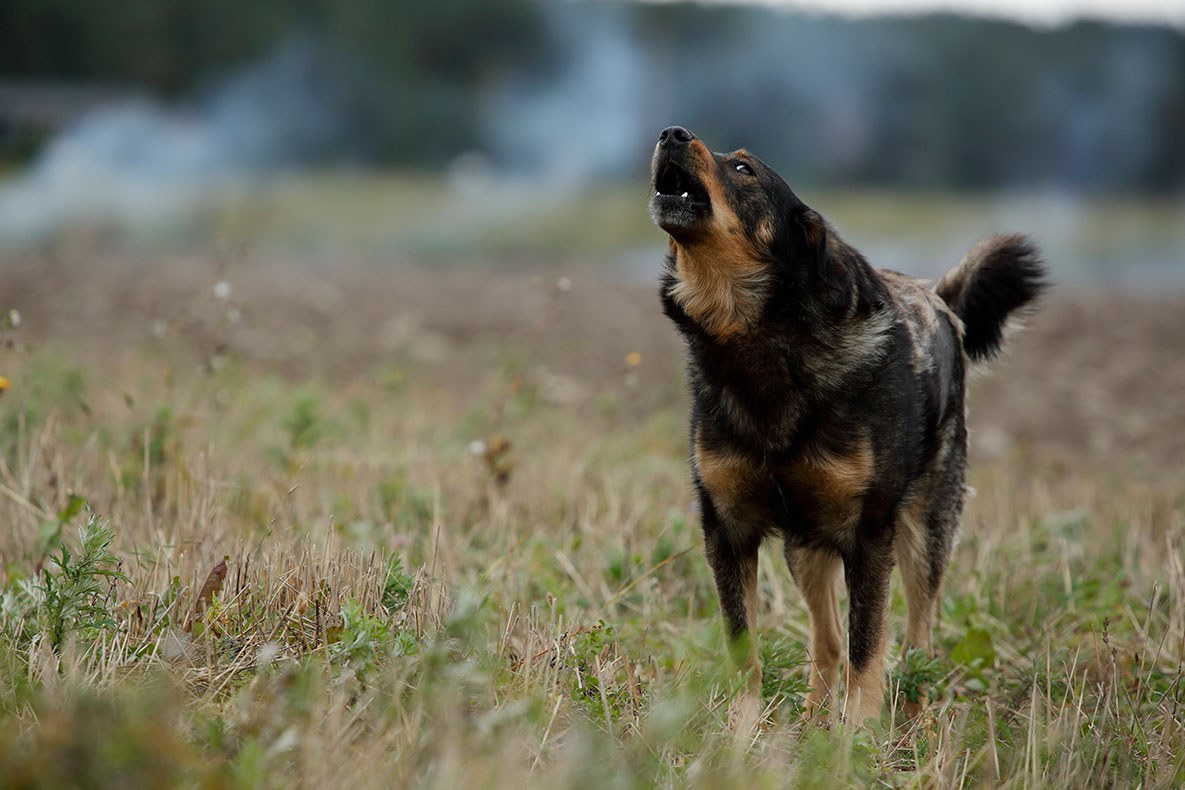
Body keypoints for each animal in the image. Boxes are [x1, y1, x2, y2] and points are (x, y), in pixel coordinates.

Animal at [649, 126, 1047, 724]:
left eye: (743, 168)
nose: (672, 133)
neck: (760, 344)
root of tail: (940, 298)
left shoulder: (869, 535)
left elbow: (869, 648)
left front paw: (856, 734)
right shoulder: (728, 529)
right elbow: (746, 648)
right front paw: (743, 730)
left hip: (926, 531)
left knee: (918, 641)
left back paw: (910, 716)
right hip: (805, 544)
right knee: (828, 639)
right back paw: (815, 714)